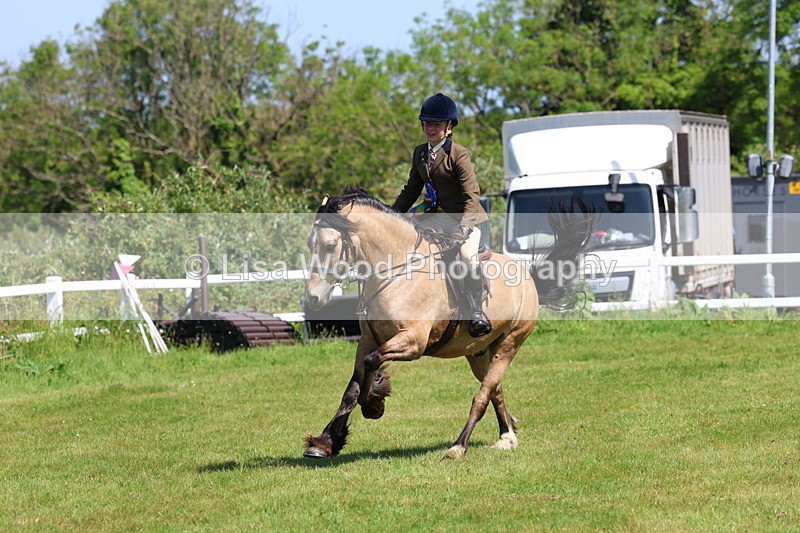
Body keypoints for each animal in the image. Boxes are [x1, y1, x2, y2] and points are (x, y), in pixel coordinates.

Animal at [302, 186, 595, 459]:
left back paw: (458, 446)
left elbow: (372, 364)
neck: (397, 271)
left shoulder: (413, 342)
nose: (312, 298)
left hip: (510, 343)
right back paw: (506, 437)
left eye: (330, 246)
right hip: (480, 353)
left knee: (483, 394)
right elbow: (352, 389)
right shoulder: (367, 340)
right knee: (495, 389)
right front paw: (325, 442)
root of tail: (527, 276)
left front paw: (374, 404)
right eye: (309, 243)